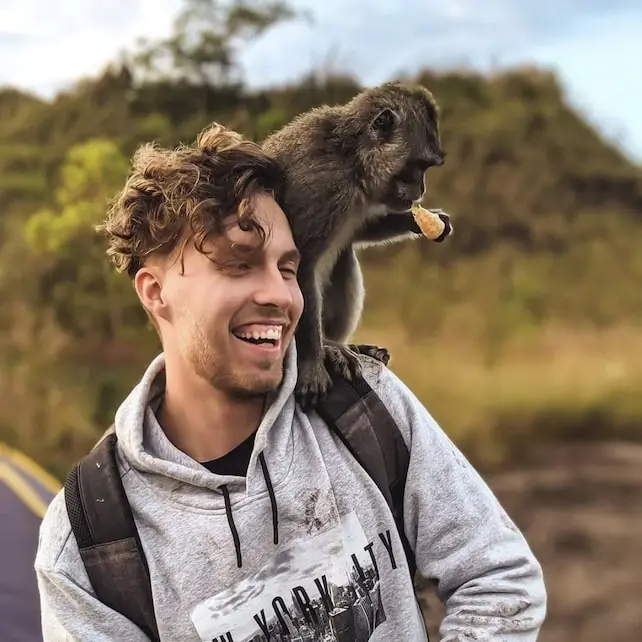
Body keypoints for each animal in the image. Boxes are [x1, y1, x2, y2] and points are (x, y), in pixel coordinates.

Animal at [260, 80, 450, 408]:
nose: (422, 189)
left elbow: (358, 230)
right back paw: (328, 346)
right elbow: (300, 264)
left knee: (343, 256)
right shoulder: (324, 186)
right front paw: (312, 363)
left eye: (427, 167)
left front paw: (428, 221)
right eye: (419, 165)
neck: (352, 159)